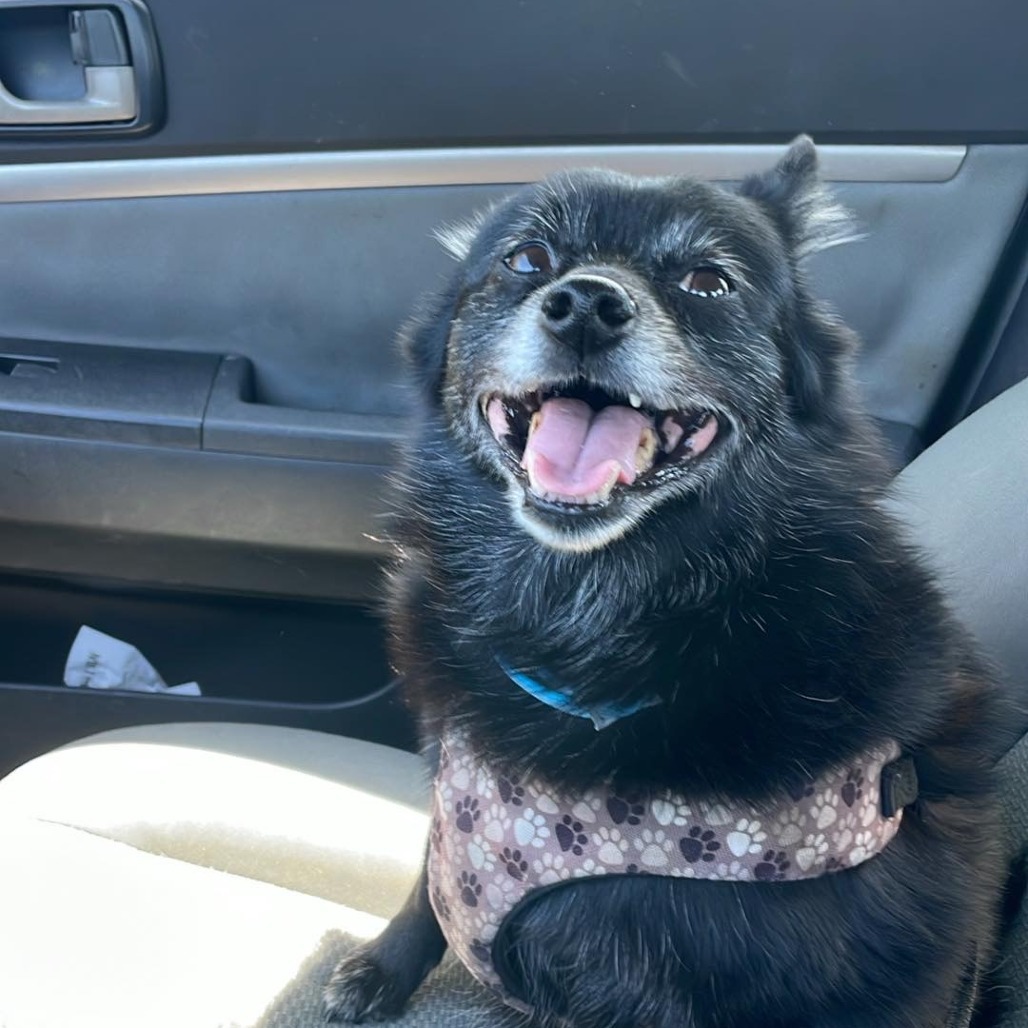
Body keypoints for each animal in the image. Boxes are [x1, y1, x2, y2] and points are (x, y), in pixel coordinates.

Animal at [322, 138, 1003, 1028]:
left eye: (708, 281)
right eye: (526, 259)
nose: (584, 304)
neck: (589, 624)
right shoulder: (452, 798)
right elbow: (427, 887)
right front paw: (381, 966)